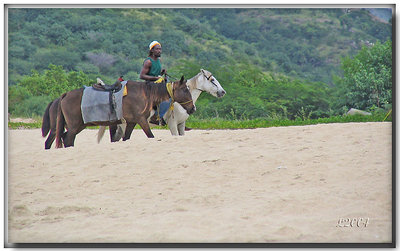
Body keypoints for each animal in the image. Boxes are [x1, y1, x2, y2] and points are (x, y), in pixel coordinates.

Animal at [55, 76, 195, 147]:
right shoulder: (142, 120)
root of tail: (65, 95)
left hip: (79, 125)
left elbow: (126, 138)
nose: (193, 108)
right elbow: (150, 136)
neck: (146, 93)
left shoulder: (132, 122)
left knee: (66, 138)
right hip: (74, 126)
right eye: (185, 90)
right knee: (68, 139)